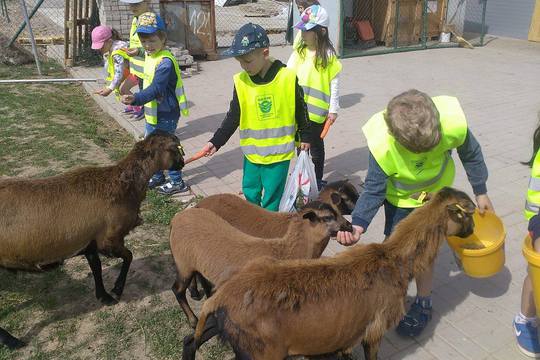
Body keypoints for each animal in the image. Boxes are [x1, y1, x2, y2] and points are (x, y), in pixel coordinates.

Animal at [0, 129, 185, 348]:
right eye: (175, 147)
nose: (182, 163)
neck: (124, 184)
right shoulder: (110, 239)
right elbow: (129, 256)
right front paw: (117, 289)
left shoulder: (90, 241)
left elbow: (96, 267)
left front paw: (103, 296)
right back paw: (13, 341)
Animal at [170, 201, 354, 328]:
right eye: (328, 217)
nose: (350, 226)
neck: (285, 251)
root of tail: (178, 217)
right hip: (183, 262)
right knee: (177, 289)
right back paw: (193, 321)